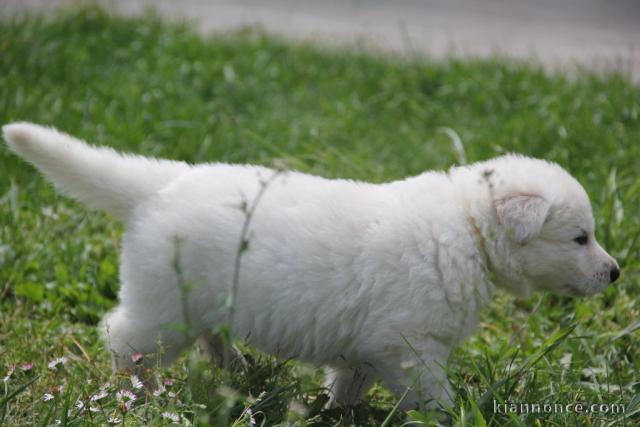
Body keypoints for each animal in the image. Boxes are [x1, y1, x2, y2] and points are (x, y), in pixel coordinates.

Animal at [2, 122, 616, 410]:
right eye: (580, 237)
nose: (614, 273)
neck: (468, 226)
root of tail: (161, 184)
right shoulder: (411, 344)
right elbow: (431, 394)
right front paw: (450, 414)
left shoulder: (375, 345)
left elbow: (349, 383)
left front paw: (336, 412)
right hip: (161, 306)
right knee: (123, 338)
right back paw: (137, 393)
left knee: (205, 336)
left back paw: (233, 370)